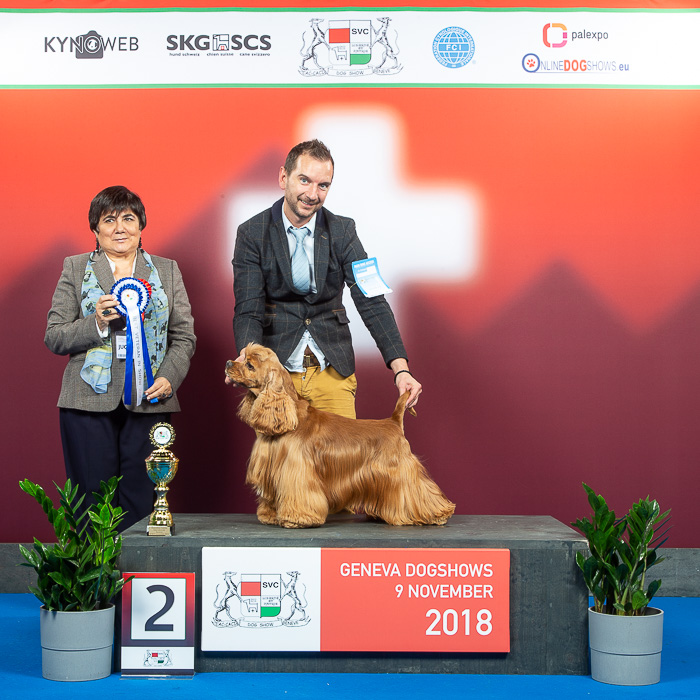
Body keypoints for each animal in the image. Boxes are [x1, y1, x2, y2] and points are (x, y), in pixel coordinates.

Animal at [225, 343, 455, 529]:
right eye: (242, 358)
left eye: (250, 365)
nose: (228, 362)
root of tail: (393, 421)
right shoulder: (271, 468)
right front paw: (270, 516)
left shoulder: (297, 469)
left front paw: (297, 519)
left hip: (401, 469)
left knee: (420, 491)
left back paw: (438, 514)